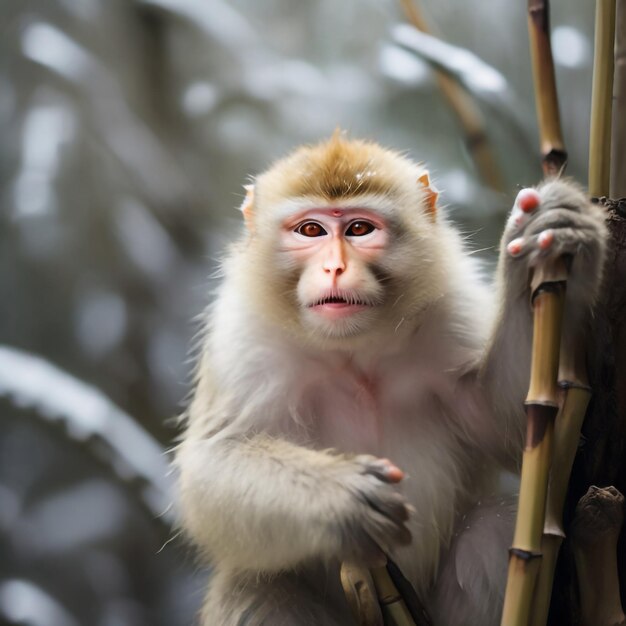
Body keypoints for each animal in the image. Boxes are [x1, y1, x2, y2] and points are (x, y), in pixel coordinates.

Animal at [173, 133, 608, 624]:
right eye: (311, 231)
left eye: (360, 229)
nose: (335, 268)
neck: (355, 352)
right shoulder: (244, 338)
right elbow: (212, 460)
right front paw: (341, 496)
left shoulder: (451, 309)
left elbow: (512, 428)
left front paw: (550, 242)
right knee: (255, 585)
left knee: (492, 535)